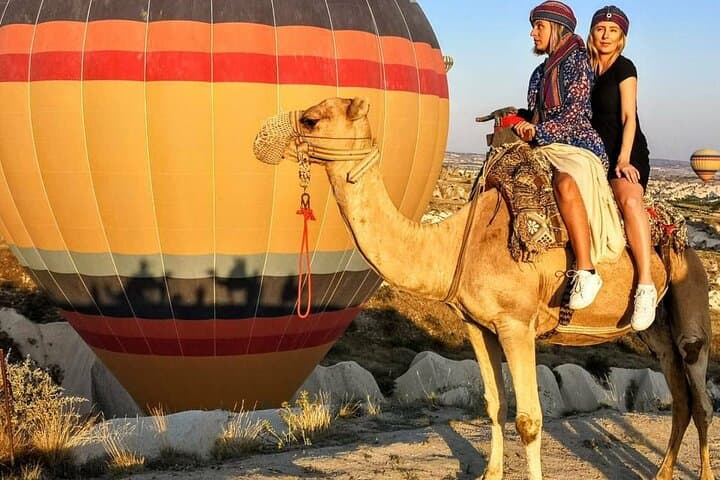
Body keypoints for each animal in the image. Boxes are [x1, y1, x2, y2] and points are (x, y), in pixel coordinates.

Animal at [254, 97, 714, 480]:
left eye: (311, 119)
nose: (263, 138)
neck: (457, 243)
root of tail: (682, 238)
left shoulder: (517, 324)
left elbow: (529, 419)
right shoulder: (479, 326)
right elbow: (495, 405)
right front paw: (490, 472)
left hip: (691, 308)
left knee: (702, 400)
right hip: (656, 332)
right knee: (681, 397)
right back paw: (661, 474)